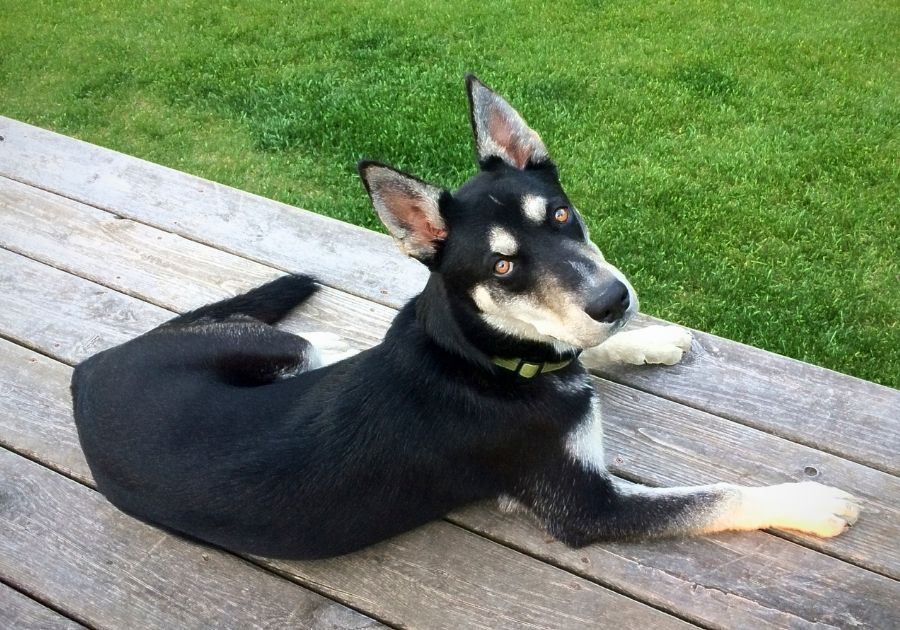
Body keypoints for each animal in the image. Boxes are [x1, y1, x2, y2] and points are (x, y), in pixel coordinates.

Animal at [68, 75, 856, 564]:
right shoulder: (587, 507)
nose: (614, 300)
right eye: (503, 267)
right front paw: (812, 502)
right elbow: (711, 497)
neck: (489, 361)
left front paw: (650, 339)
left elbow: (582, 347)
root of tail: (85, 373)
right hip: (283, 344)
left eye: (561, 216)